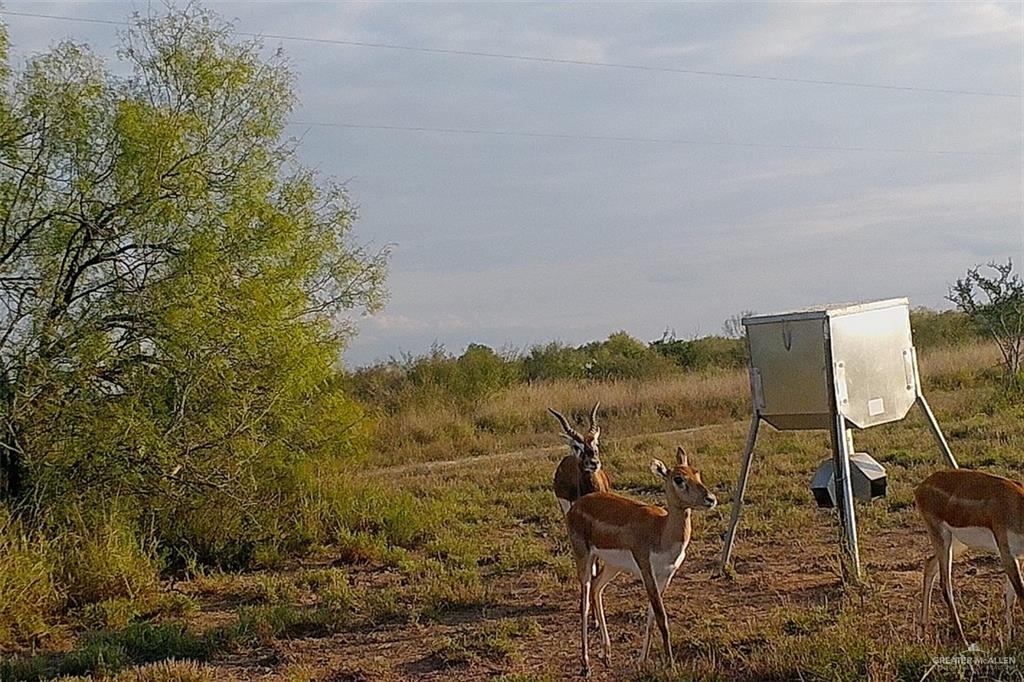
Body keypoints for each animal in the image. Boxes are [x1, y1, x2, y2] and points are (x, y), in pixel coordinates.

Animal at [565, 444, 716, 671]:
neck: (661, 531)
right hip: (583, 556)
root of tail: (575, 506)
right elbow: (661, 617)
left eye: (696, 472)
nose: (711, 499)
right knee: (584, 600)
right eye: (678, 479)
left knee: (597, 588)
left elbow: (652, 616)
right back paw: (585, 664)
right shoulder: (647, 571)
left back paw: (607, 655)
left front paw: (642, 660)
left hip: (612, 566)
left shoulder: (666, 576)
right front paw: (671, 665)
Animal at [917, 466, 1019, 643]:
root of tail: (921, 486)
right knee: (945, 585)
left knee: (929, 564)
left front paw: (1010, 640)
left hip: (958, 544)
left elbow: (1010, 597)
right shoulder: (1008, 553)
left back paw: (925, 631)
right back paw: (963, 639)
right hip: (943, 538)